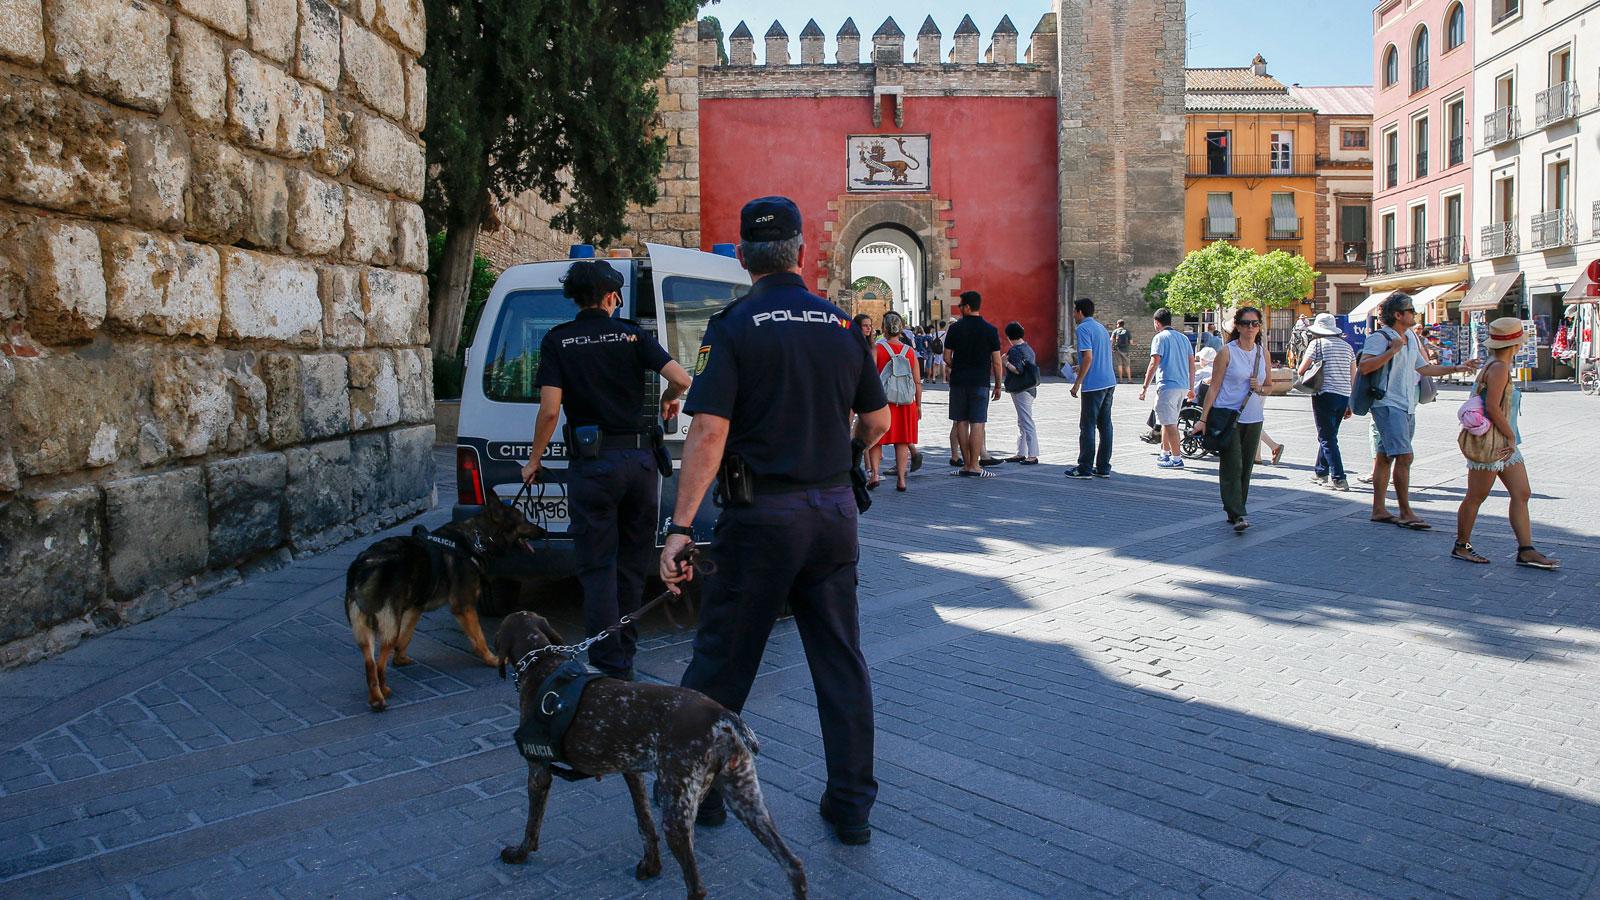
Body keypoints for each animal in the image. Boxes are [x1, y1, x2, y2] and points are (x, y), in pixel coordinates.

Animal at [344, 490, 544, 707]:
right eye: (524, 520)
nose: (544, 531)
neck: (479, 537)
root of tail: (364, 564)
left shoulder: (415, 608)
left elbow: (406, 636)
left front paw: (400, 658)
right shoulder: (464, 606)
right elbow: (479, 638)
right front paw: (491, 659)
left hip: (366, 630)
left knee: (370, 663)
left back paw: (375, 696)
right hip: (389, 626)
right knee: (379, 664)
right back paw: (383, 694)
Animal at [492, 605, 806, 890]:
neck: (542, 663)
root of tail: (722, 717)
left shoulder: (538, 770)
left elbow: (532, 824)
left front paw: (519, 852)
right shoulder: (632, 771)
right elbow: (644, 821)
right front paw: (651, 865)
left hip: (678, 811)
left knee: (698, 886)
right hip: (745, 798)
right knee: (793, 865)